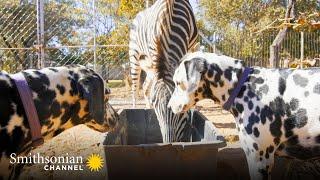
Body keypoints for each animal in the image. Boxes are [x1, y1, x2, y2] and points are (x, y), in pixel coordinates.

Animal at [127, 0, 198, 143]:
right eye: (156, 105)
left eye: (179, 108)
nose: (168, 144)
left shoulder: (192, 46)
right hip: (134, 56)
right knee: (135, 87)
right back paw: (135, 108)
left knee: (145, 86)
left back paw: (146, 107)